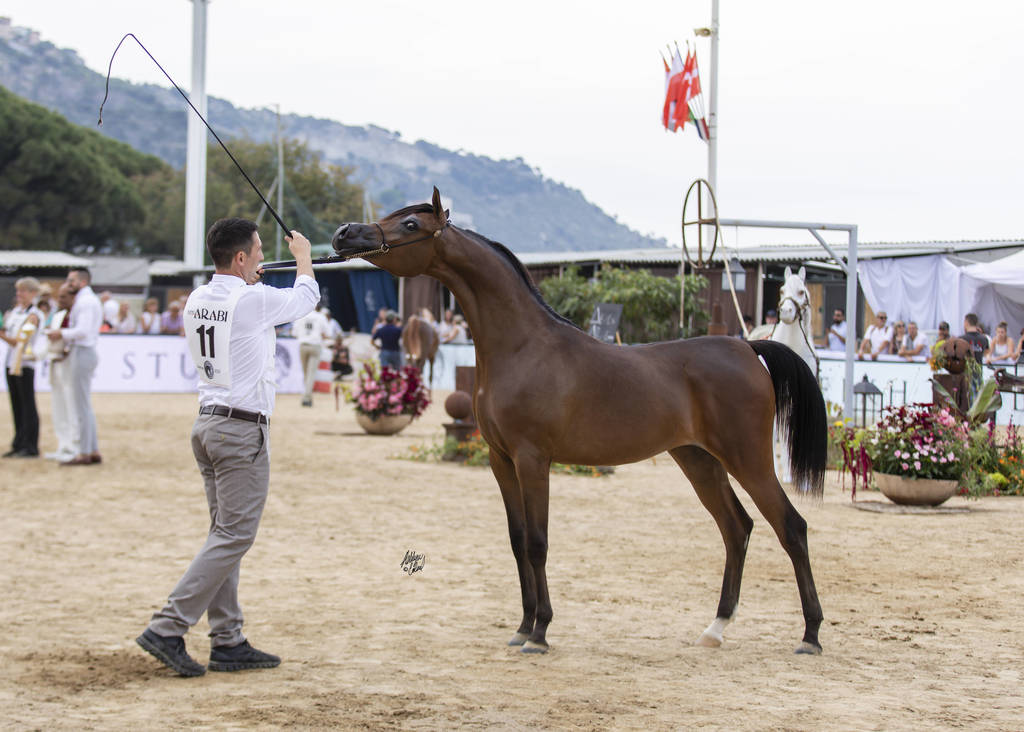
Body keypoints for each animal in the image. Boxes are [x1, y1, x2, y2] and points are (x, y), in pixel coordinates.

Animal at [331, 188, 827, 655]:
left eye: (410, 223)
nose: (343, 234)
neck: (523, 346)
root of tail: (747, 348)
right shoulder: (500, 460)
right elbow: (517, 541)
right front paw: (522, 626)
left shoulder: (533, 460)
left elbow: (538, 542)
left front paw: (540, 633)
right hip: (699, 461)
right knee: (737, 528)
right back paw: (716, 628)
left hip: (749, 460)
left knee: (792, 527)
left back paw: (810, 634)